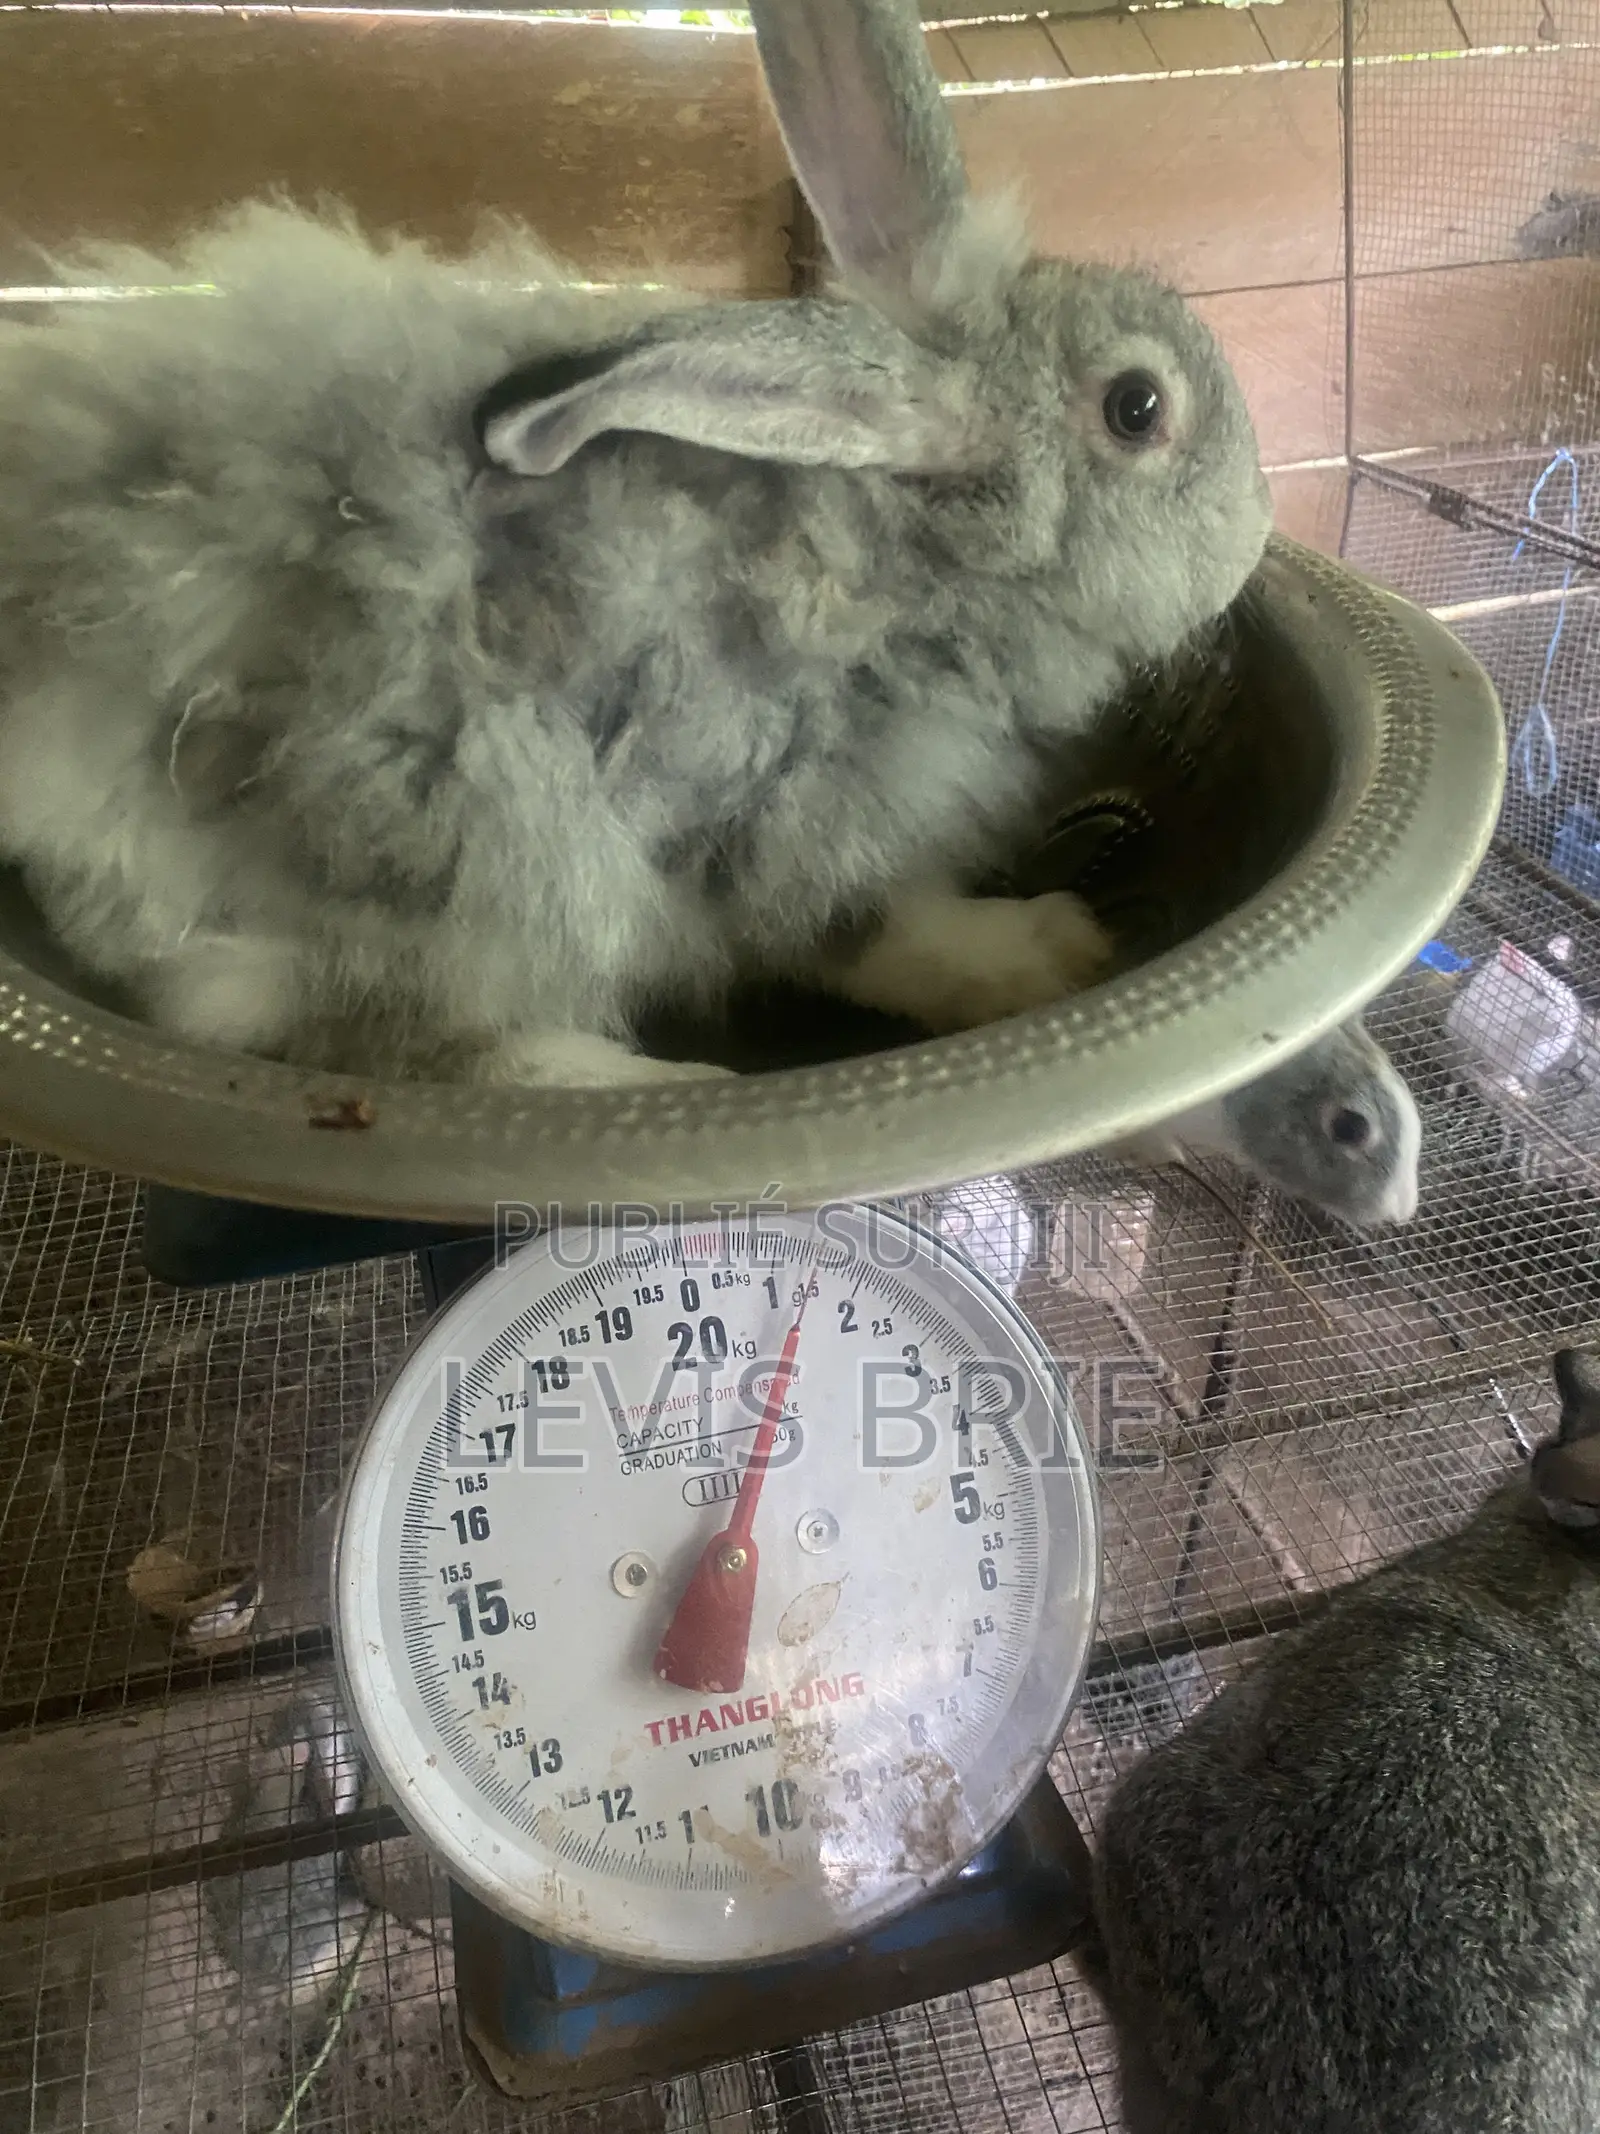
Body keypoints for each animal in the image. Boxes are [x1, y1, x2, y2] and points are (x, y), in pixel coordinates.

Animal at [0, 0, 1272, 1090]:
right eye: (1138, 409)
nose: (1257, 534)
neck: (903, 542)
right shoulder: (776, 806)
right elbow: (877, 930)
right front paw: (1045, 953)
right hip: (445, 851)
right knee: (386, 1036)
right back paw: (647, 1076)